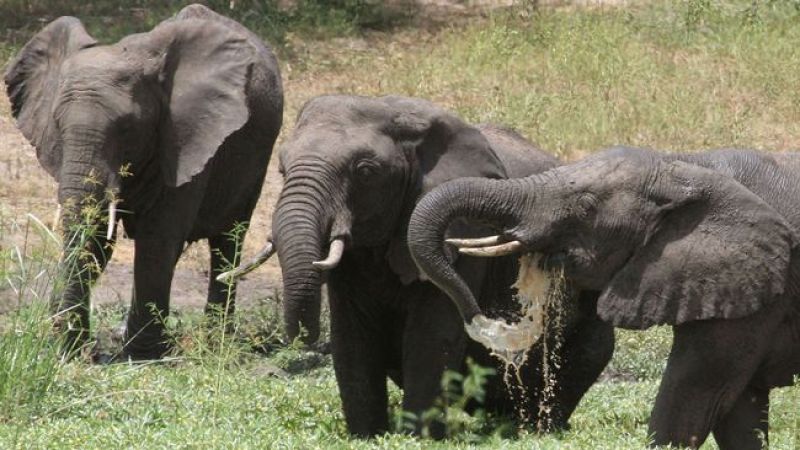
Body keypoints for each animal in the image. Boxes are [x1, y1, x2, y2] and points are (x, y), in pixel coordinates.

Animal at [3, 4, 283, 359]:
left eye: (127, 127)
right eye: (56, 124)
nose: (78, 351)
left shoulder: (185, 137)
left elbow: (158, 237)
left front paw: (144, 354)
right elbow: (98, 238)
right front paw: (70, 348)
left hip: (256, 157)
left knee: (227, 241)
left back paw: (213, 341)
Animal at [225, 95, 614, 437]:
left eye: (365, 172)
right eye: (281, 168)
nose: (489, 323)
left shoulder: (464, 234)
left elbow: (431, 336)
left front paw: (416, 438)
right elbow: (351, 336)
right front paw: (366, 435)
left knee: (590, 352)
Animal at [407, 146, 800, 449]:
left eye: (586, 206)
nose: (481, 320)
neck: (684, 166)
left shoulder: (759, 284)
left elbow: (697, 391)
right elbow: (739, 410)